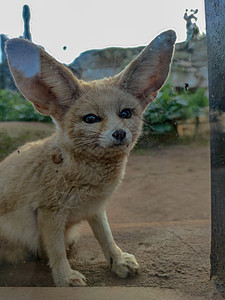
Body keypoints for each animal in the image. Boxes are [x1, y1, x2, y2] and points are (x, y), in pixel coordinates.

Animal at [0, 30, 176, 286]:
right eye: (90, 118)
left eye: (126, 113)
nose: (119, 133)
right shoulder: (49, 212)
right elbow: (55, 250)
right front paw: (65, 277)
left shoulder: (95, 208)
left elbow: (106, 236)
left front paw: (118, 261)